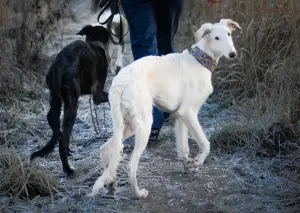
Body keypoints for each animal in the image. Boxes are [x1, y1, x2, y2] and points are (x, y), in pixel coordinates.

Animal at [30, 25, 110, 176]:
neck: (95, 43)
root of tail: (59, 65)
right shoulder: (98, 94)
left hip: (55, 98)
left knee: (52, 119)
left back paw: (63, 144)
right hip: (72, 102)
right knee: (63, 139)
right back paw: (68, 168)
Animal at [88, 17, 241, 198]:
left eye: (229, 34)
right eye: (216, 38)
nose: (233, 54)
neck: (200, 61)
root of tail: (120, 82)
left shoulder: (180, 116)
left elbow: (183, 149)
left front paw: (188, 167)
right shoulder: (188, 112)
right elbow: (205, 144)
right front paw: (197, 162)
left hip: (127, 124)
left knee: (106, 148)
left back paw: (111, 184)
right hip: (144, 125)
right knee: (130, 165)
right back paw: (138, 193)